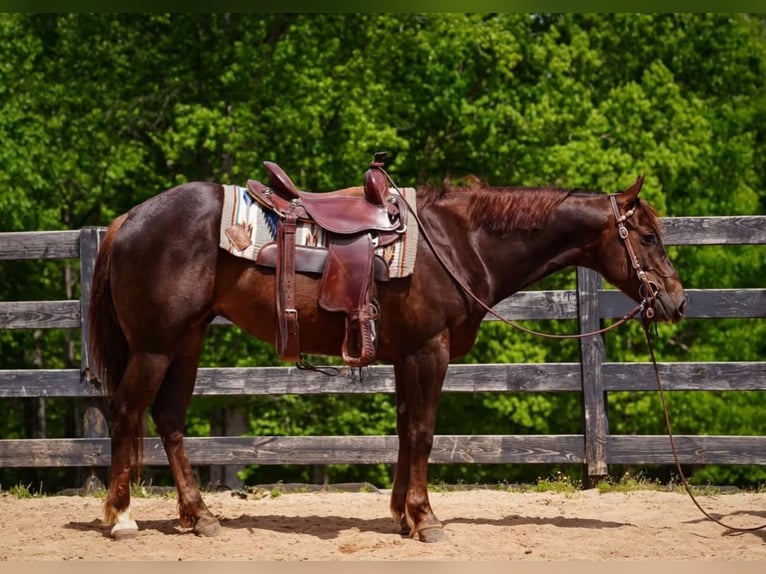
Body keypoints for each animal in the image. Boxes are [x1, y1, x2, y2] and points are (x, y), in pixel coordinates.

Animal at [87, 170, 686, 542]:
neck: (459, 243)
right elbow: (422, 432)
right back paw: (121, 517)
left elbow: (403, 430)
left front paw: (402, 515)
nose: (677, 300)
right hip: (155, 345)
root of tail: (127, 220)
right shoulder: (428, 350)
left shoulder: (405, 355)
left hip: (186, 340)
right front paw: (426, 518)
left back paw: (200, 516)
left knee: (169, 419)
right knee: (126, 412)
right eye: (648, 237)